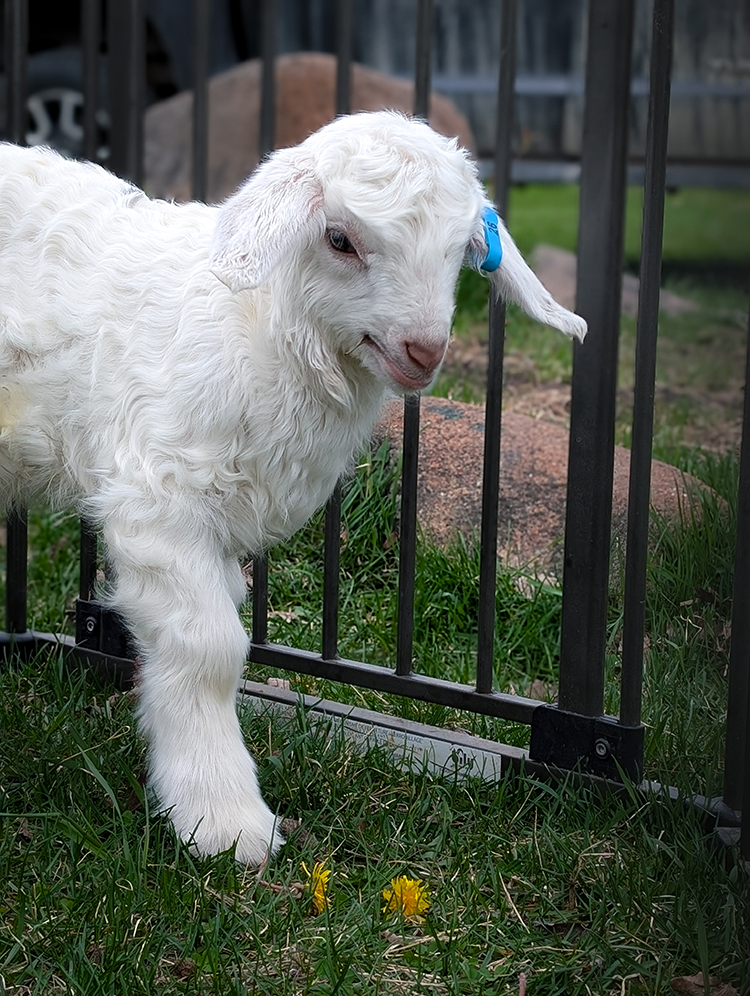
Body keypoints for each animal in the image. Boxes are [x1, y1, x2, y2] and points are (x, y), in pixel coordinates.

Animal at [0, 111, 586, 864]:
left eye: (463, 249)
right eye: (340, 239)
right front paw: (226, 823)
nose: (424, 351)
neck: (258, 330)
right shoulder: (158, 498)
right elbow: (212, 651)